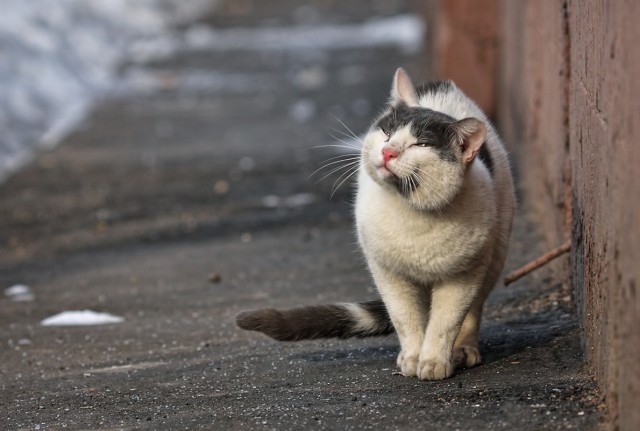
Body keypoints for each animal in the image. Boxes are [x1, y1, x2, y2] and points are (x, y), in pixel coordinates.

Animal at [236, 68, 516, 382]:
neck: (413, 216)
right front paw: (413, 358)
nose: (388, 152)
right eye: (387, 133)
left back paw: (463, 349)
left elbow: (446, 323)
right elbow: (405, 318)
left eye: (421, 144)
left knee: (473, 310)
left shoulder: (464, 276)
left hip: (495, 253)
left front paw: (433, 361)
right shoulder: (387, 272)